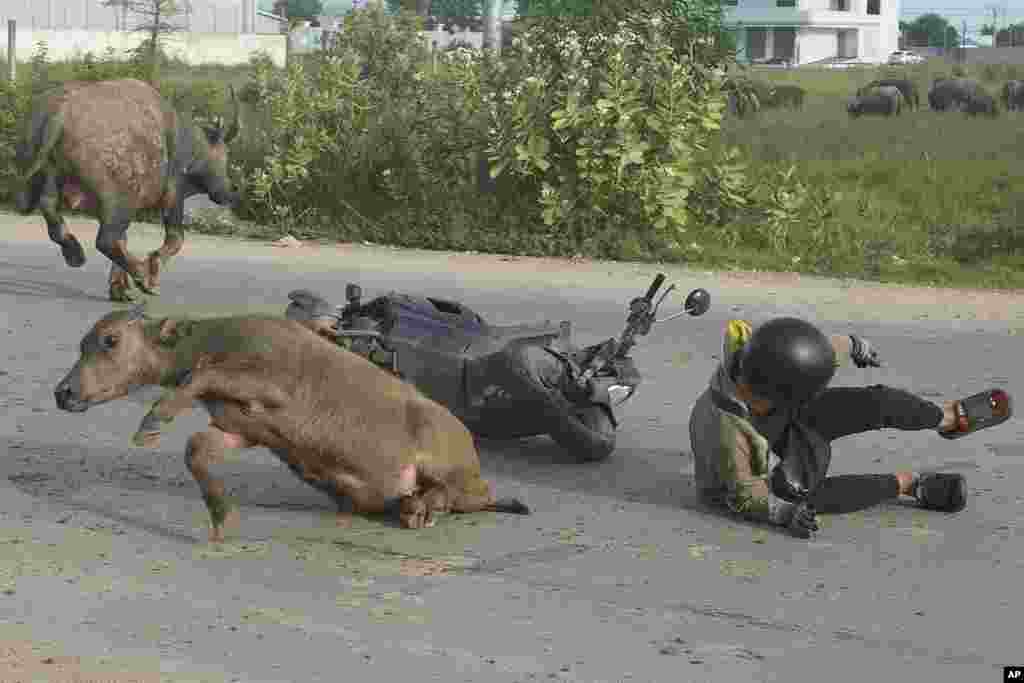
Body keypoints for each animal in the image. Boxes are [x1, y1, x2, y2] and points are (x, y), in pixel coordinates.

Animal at [13, 78, 239, 301]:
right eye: (225, 155)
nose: (227, 192)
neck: (185, 143)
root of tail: (61, 112)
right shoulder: (173, 196)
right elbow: (175, 239)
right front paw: (150, 271)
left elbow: (124, 240)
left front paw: (118, 288)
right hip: (121, 202)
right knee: (105, 240)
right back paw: (141, 275)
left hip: (52, 179)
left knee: (51, 213)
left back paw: (74, 252)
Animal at [52, 309, 528, 544]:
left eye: (111, 340)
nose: (63, 392)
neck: (218, 339)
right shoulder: (240, 428)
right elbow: (196, 451)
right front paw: (221, 516)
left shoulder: (268, 385)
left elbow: (201, 376)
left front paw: (154, 419)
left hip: (448, 461)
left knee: (460, 495)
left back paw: (423, 507)